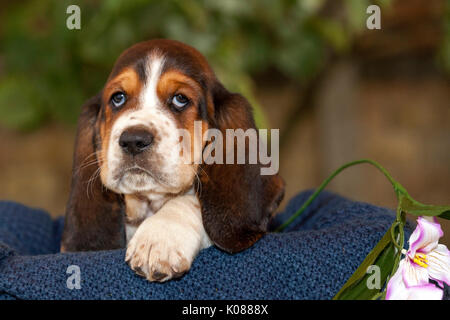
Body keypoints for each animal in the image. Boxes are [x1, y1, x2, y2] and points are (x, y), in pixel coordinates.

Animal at [61, 38, 284, 282]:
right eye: (118, 98)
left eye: (180, 99)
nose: (133, 140)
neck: (149, 204)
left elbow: (190, 199)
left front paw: (159, 237)